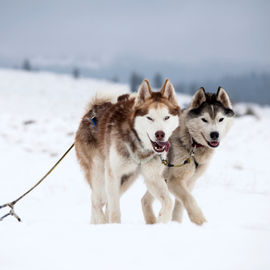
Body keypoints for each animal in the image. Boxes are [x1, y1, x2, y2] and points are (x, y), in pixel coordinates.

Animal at [75, 79, 180, 225]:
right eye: (149, 118)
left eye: (166, 117)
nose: (160, 134)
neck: (139, 147)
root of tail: (91, 111)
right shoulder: (113, 174)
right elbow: (114, 211)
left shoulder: (152, 176)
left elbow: (168, 202)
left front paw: (161, 220)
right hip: (100, 173)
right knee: (96, 201)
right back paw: (101, 222)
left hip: (126, 179)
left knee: (103, 202)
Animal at [141, 87, 234, 225]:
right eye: (204, 119)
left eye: (221, 119)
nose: (214, 134)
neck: (191, 142)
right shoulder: (174, 181)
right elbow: (189, 199)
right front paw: (200, 220)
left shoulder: (189, 181)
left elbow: (180, 205)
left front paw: (176, 223)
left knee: (145, 200)